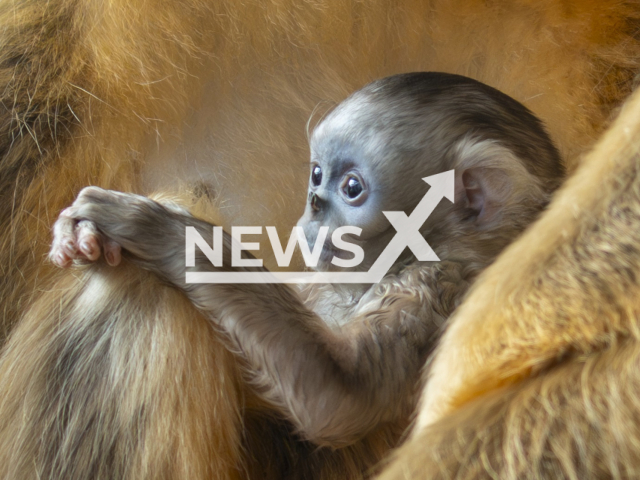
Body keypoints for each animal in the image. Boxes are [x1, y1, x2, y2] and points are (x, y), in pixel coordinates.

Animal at [46, 72, 564, 452]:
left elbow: (341, 396)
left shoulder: (436, 287)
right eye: (316, 175)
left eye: (351, 188)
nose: (313, 205)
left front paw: (161, 228)